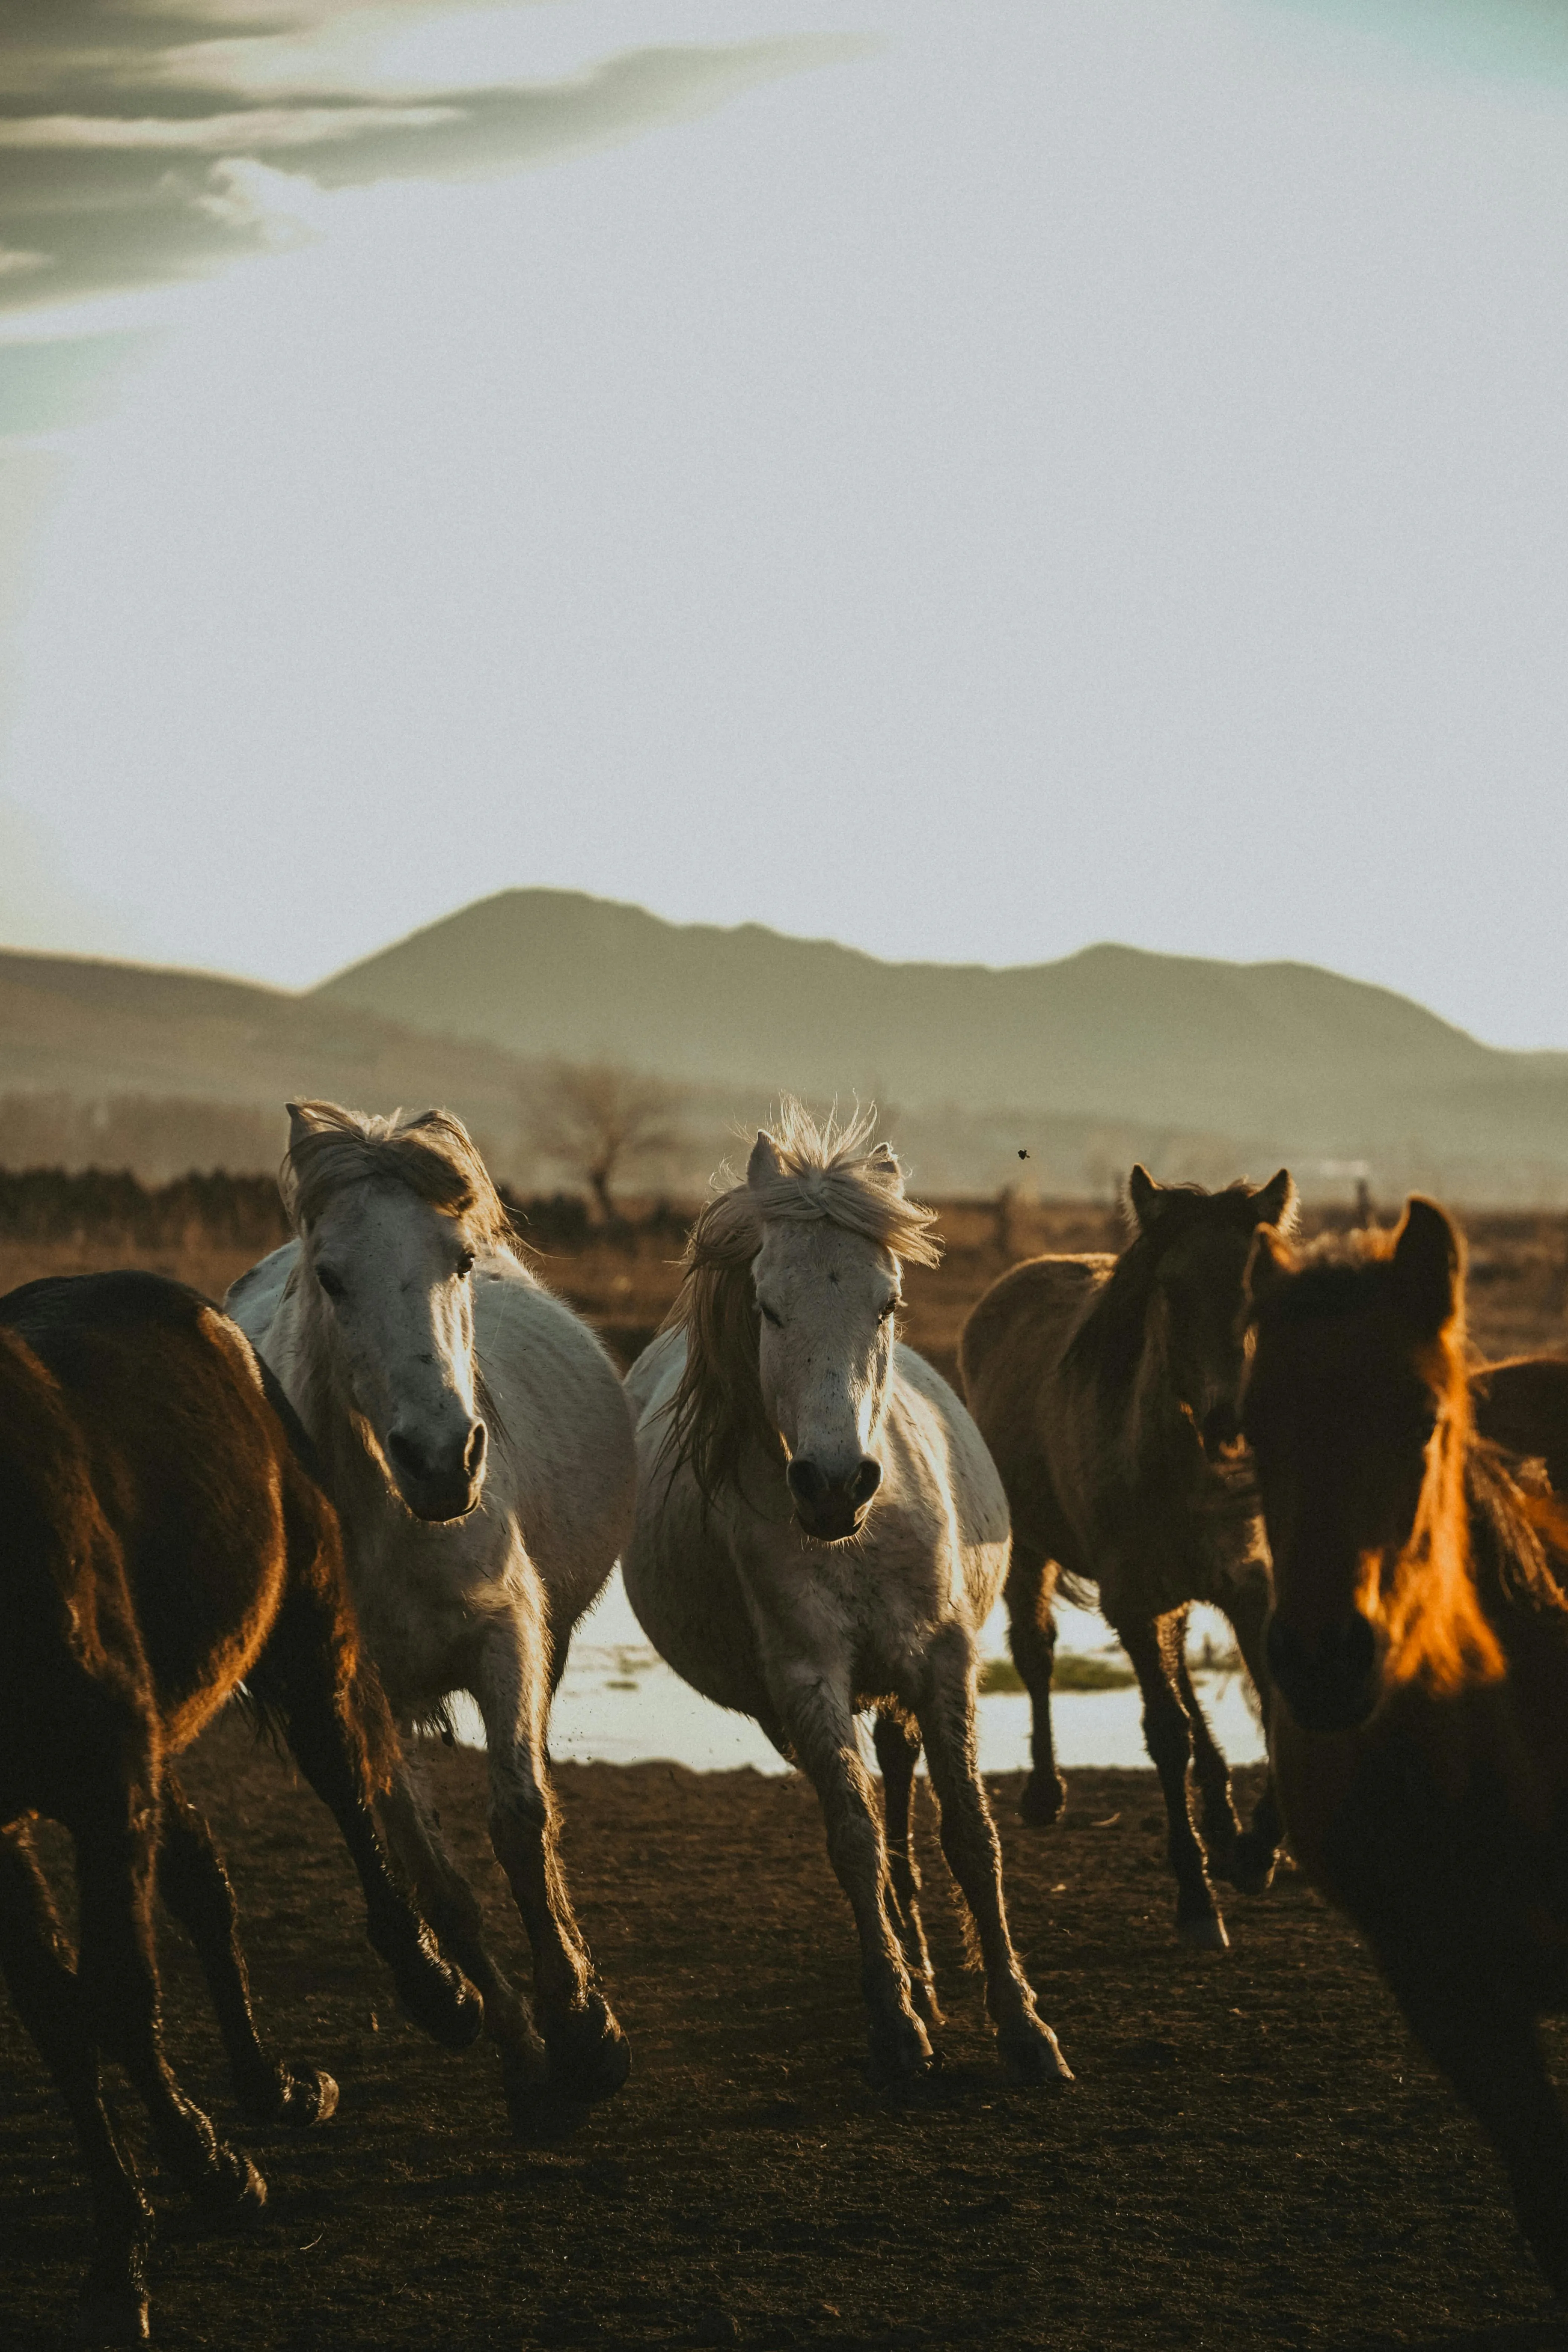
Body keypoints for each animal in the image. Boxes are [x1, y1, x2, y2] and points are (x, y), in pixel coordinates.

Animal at [0, 1270, 481, 2347]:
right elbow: (62, 2017)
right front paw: (143, 2221)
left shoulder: (106, 1779)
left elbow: (118, 1995)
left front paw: (189, 2189)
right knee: (205, 1889)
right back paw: (274, 2089)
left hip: (303, 1631)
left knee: (346, 1792)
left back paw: (439, 1993)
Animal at [226, 1101, 637, 2134]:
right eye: (330, 1275)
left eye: (458, 1260)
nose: (443, 1459)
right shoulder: (351, 1696)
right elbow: (438, 1878)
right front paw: (527, 2056)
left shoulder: (509, 1638)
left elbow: (521, 1818)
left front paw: (587, 2031)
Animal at [622, 1105, 1070, 2088]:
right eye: (767, 1305)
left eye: (887, 1302)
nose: (833, 1484)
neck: (860, 1534)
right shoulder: (807, 1680)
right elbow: (854, 1839)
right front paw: (898, 2024)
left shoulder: (943, 1662)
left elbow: (970, 1835)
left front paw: (1022, 2024)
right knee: (868, 1801)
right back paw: (913, 1973)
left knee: (898, 1781)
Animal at [959, 1165, 1295, 1950]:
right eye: (1171, 1288)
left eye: (1262, 1282)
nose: (1228, 1419)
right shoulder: (1133, 1598)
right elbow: (1165, 1735)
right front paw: (1198, 1901)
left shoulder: (1248, 1589)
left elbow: (1268, 1706)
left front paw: (1258, 1851)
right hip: (1031, 1550)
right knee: (1037, 1652)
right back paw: (1045, 1793)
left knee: (1181, 1672)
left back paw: (1225, 1820)